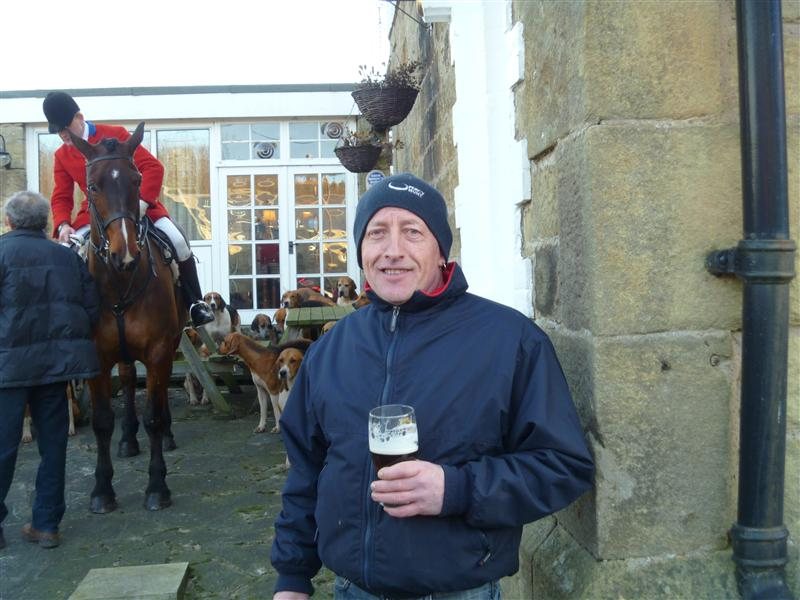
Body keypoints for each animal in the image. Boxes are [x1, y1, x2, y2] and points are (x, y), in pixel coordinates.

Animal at [69, 122, 186, 512]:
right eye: (92, 186)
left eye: (137, 181)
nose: (126, 255)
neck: (119, 284)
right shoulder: (96, 358)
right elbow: (103, 421)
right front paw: (102, 489)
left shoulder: (159, 350)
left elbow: (154, 413)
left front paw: (157, 486)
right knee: (127, 379)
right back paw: (128, 440)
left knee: (158, 394)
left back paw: (166, 433)